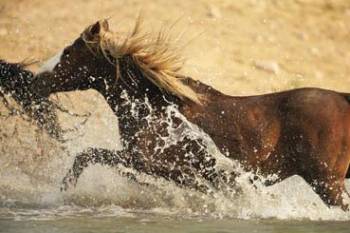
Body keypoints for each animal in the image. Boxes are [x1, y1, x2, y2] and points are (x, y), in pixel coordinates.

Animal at [32, 20, 350, 209]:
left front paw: (62, 192)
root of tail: (341, 98)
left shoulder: (153, 163)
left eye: (68, 52)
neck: (153, 106)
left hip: (327, 183)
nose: (35, 80)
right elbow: (89, 155)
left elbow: (87, 155)